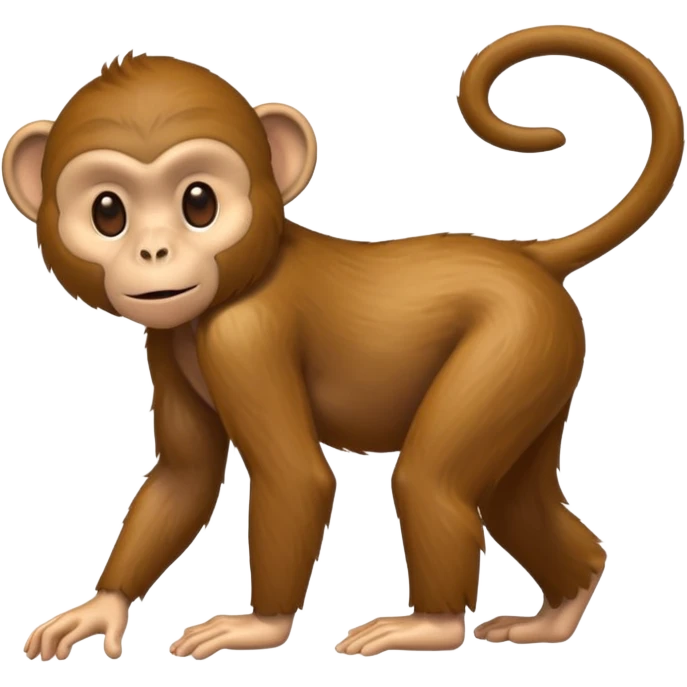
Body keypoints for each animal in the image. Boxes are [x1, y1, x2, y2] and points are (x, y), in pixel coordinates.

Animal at [5, 25, 683, 662]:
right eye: (108, 212)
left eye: (198, 202)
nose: (153, 252)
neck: (241, 282)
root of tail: (529, 257)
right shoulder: (166, 344)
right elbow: (184, 479)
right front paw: (102, 607)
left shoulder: (245, 337)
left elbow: (296, 477)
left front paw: (260, 627)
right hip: (546, 359)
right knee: (516, 498)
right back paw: (561, 610)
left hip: (515, 340)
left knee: (432, 480)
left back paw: (432, 627)